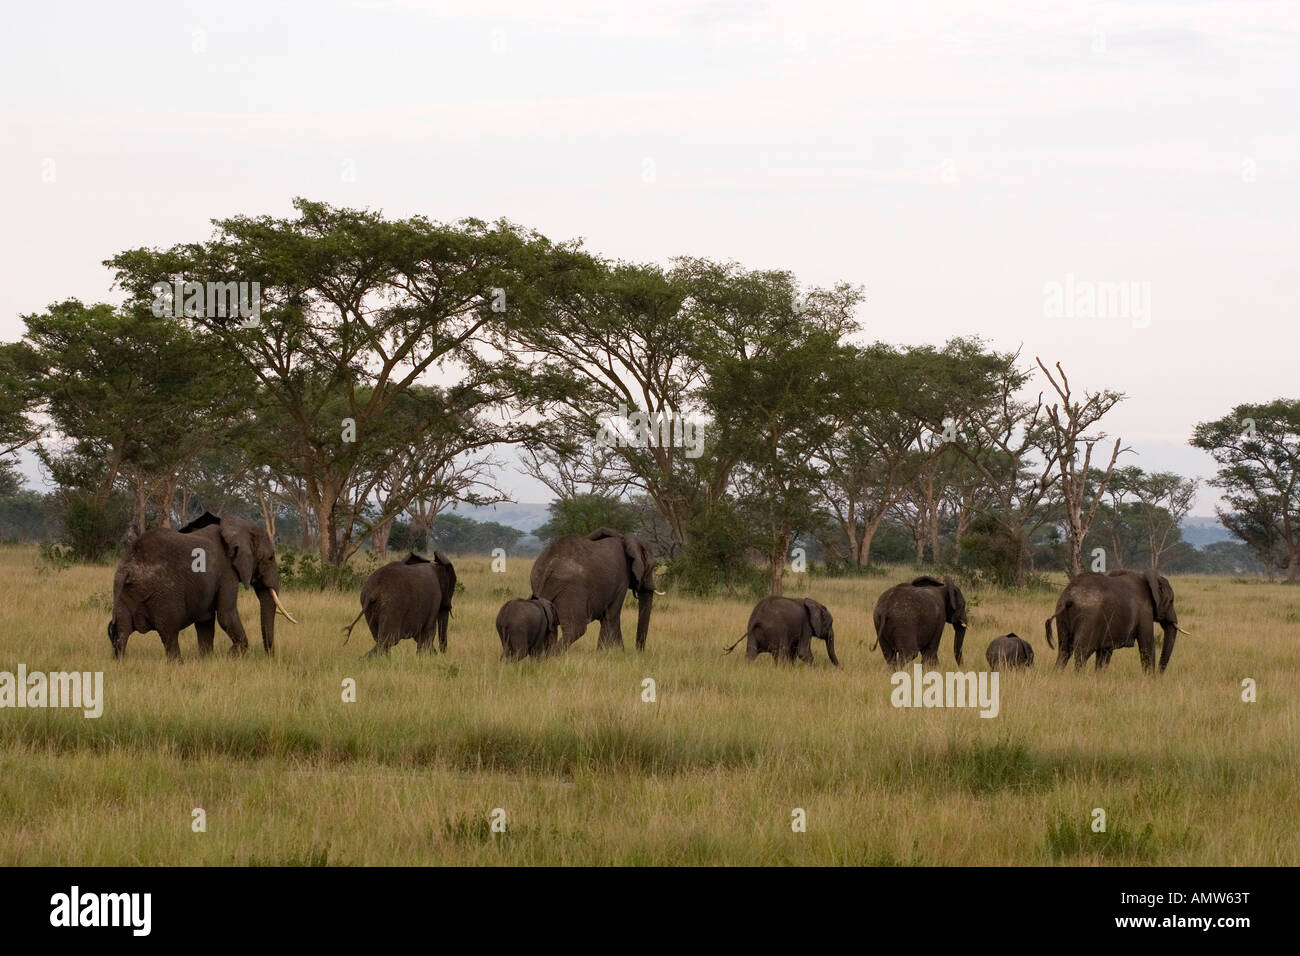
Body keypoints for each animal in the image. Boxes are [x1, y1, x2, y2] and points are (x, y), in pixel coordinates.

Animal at [108, 512, 297, 660]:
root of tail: (129, 566)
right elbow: (226, 615)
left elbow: (205, 621)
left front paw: (207, 659)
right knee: (169, 632)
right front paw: (230, 658)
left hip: (123, 592)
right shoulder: (226, 573)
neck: (238, 526)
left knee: (121, 631)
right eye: (270, 558)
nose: (270, 657)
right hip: (163, 594)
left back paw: (120, 663)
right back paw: (177, 664)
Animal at [525, 528, 655, 655]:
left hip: (539, 583)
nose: (639, 652)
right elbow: (612, 616)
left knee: (551, 627)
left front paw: (608, 653)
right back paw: (551, 656)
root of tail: (549, 566)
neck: (626, 539)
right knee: (576, 629)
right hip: (572, 590)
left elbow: (606, 617)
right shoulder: (622, 580)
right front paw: (609, 654)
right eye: (652, 566)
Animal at [1045, 567, 1190, 671]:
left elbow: (1105, 652)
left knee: (1064, 651)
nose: (1160, 674)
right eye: (1171, 601)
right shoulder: (1145, 611)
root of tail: (1069, 597)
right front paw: (1150, 679)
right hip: (1089, 617)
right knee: (1082, 653)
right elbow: (1147, 644)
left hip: (1062, 616)